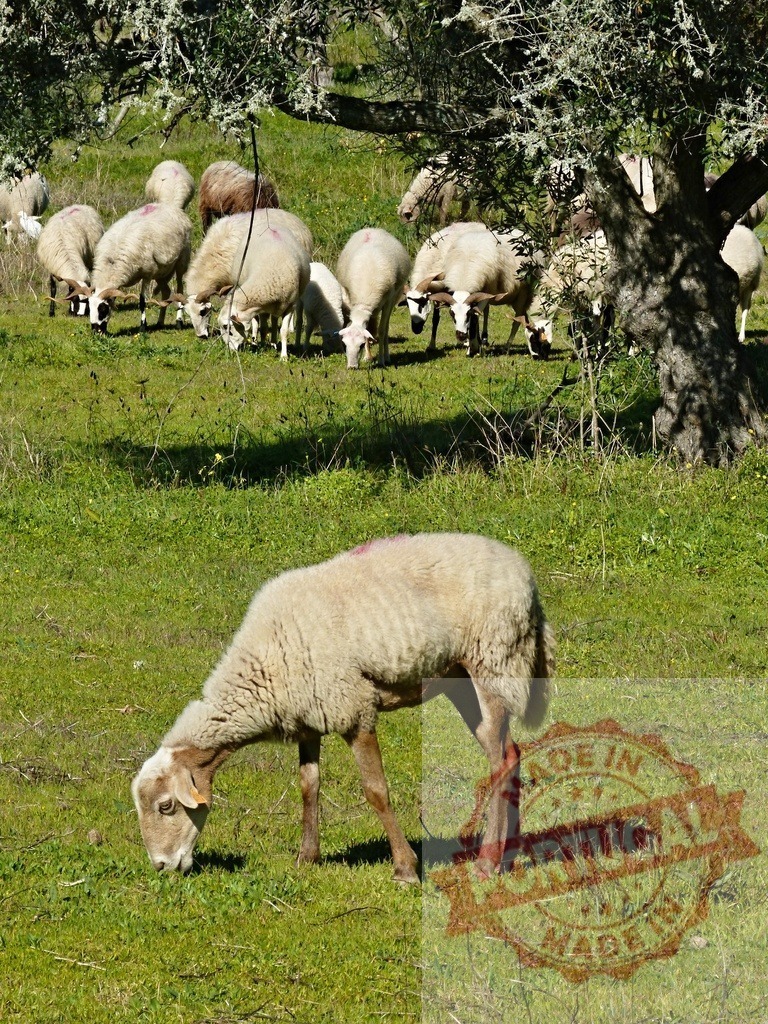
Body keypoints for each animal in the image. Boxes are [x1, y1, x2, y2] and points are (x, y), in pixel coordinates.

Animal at [87, 203, 192, 333]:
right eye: (89, 308)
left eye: (102, 309)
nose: (96, 331)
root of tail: (172, 208)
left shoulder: (147, 274)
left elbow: (142, 301)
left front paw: (143, 326)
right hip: (161, 272)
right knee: (166, 292)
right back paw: (159, 323)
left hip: (181, 261)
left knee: (180, 290)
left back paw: (179, 322)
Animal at [132, 531, 555, 882]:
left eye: (166, 806)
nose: (162, 866)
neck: (263, 667)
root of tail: (523, 571)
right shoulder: (307, 717)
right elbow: (308, 785)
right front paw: (307, 857)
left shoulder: (353, 707)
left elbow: (376, 791)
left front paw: (405, 868)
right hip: (460, 677)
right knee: (511, 752)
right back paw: (509, 854)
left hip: (495, 660)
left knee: (500, 761)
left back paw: (486, 863)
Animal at [217, 223, 311, 358]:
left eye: (226, 327)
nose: (230, 351)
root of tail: (270, 225)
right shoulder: (261, 307)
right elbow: (264, 328)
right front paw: (262, 346)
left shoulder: (290, 306)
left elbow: (284, 331)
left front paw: (284, 356)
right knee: (260, 323)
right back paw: (260, 342)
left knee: (274, 319)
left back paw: (273, 343)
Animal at [335, 227, 411, 368]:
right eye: (345, 344)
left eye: (360, 346)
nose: (352, 367)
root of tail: (371, 229)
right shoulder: (351, 299)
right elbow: (367, 330)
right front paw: (368, 357)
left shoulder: (389, 300)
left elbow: (382, 330)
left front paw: (381, 360)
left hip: (395, 296)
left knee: (385, 328)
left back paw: (386, 357)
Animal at [403, 221, 489, 351]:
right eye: (408, 305)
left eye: (422, 303)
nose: (416, 330)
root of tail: (478, 223)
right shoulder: (437, 293)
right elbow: (435, 319)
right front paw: (431, 346)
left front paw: (467, 341)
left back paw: (483, 339)